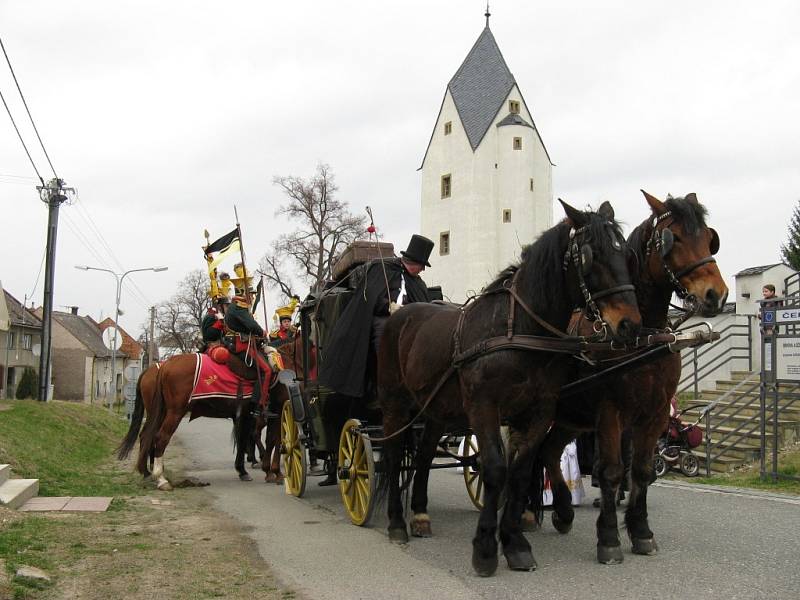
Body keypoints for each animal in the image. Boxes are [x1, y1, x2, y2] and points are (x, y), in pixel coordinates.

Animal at [376, 202, 644, 576]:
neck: (518, 330)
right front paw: (486, 549)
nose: (630, 325)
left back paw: (420, 515)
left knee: (425, 456)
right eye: (592, 255)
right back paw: (397, 523)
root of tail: (400, 315)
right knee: (391, 455)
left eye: (626, 254)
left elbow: (518, 473)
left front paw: (515, 543)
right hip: (395, 405)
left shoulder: (537, 412)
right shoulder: (484, 408)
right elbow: (494, 469)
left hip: (436, 411)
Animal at [536, 191, 732, 564]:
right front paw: (609, 537)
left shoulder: (655, 413)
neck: (644, 337)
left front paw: (641, 531)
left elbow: (640, 469)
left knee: (548, 452)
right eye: (674, 238)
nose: (716, 295)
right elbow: (612, 471)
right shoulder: (611, 412)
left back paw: (562, 512)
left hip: (570, 419)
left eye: (708, 237)